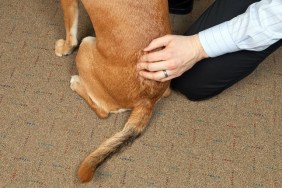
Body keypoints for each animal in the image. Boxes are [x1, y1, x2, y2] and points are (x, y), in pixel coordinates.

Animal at [54, 0, 171, 183]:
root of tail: (147, 100)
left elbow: (70, 36)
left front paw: (64, 48)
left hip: (85, 47)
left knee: (102, 112)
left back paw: (76, 83)